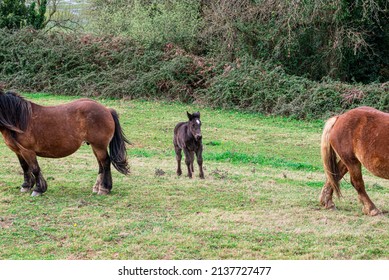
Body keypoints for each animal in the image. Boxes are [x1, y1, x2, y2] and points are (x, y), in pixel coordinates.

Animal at [0, 91, 130, 196]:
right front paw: (26, 186)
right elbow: (25, 167)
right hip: (95, 146)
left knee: (106, 163)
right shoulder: (19, 151)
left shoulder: (28, 151)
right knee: (101, 165)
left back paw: (104, 189)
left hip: (99, 146)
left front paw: (38, 189)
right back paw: (97, 187)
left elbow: (35, 169)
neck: (18, 118)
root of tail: (107, 110)